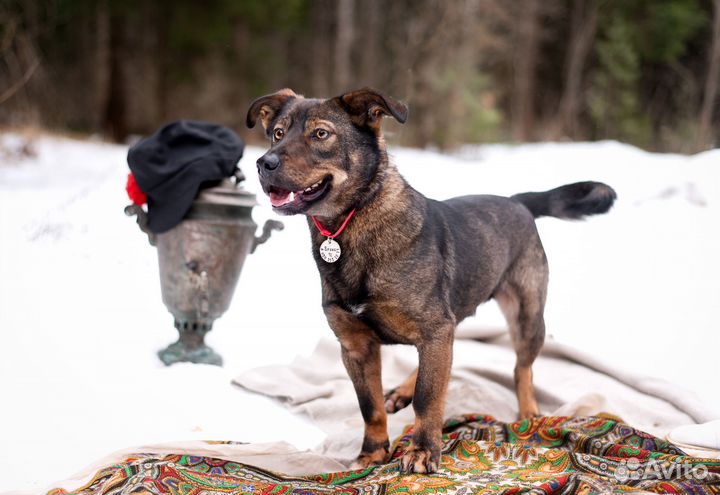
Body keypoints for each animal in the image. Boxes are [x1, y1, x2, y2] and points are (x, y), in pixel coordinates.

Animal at [246, 87, 612, 474]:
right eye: (277, 133)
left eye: (320, 134)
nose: (264, 164)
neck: (353, 223)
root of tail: (518, 202)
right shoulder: (357, 346)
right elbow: (371, 406)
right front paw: (372, 454)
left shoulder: (434, 329)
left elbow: (428, 395)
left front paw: (422, 449)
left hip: (526, 315)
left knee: (520, 369)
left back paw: (528, 414)